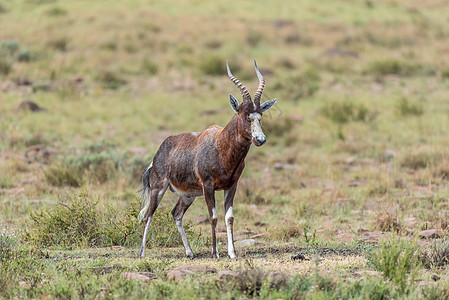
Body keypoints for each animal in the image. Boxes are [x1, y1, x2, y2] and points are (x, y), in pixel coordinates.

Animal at [137, 60, 276, 258]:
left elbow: (229, 217)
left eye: (260, 116)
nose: (260, 139)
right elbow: (213, 217)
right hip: (159, 188)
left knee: (176, 214)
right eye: (245, 115)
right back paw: (141, 253)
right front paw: (215, 253)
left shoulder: (231, 186)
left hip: (188, 195)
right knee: (149, 214)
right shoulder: (208, 187)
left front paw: (232, 253)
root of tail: (158, 153)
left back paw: (189, 252)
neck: (220, 145)